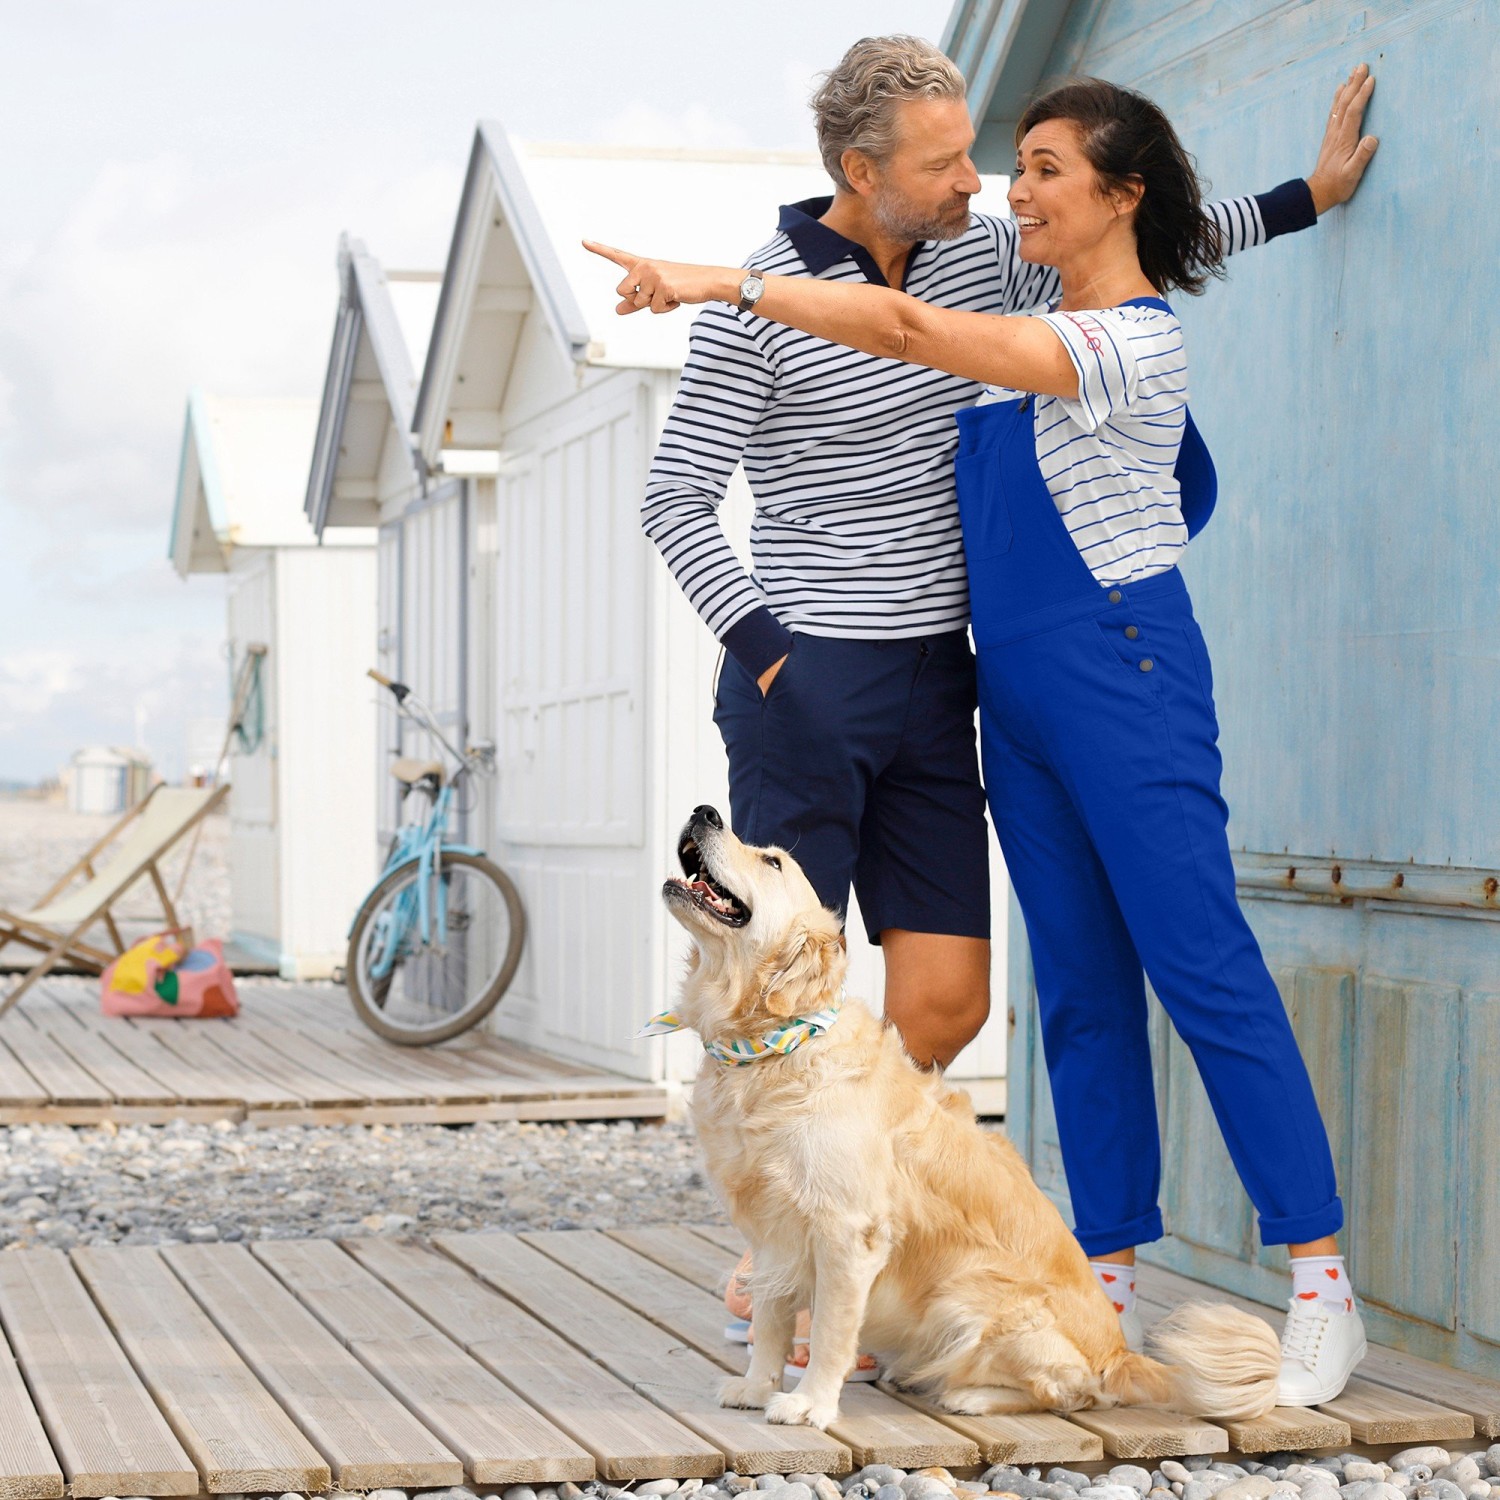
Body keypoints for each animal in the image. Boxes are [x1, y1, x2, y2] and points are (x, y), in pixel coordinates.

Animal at [663, 804, 1284, 1434]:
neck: (770, 1048)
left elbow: (832, 1334)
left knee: (1070, 1391)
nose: (703, 812)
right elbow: (769, 1323)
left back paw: (971, 1396)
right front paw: (754, 1386)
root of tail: (1119, 1353)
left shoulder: (848, 1233)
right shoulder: (772, 1233)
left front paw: (810, 1402)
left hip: (966, 1297)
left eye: (773, 862)